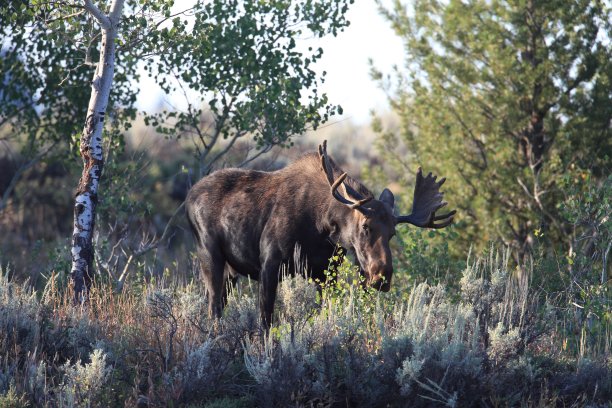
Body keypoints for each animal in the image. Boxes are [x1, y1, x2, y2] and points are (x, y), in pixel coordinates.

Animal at [186, 142, 454, 326]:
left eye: (393, 233)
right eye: (365, 226)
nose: (381, 278)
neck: (322, 225)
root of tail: (189, 196)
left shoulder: (325, 272)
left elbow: (325, 311)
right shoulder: (269, 263)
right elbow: (266, 319)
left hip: (232, 270)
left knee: (219, 303)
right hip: (209, 253)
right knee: (213, 307)